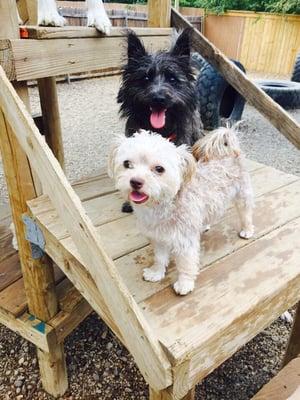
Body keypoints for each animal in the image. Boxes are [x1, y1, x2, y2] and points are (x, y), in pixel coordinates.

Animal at [109, 130, 254, 296]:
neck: (162, 206)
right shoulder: (158, 238)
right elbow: (160, 258)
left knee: (246, 213)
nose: (135, 181)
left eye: (159, 169)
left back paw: (247, 230)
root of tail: (230, 150)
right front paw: (156, 273)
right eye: (127, 164)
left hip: (243, 195)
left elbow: (186, 264)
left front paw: (185, 283)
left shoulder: (185, 241)